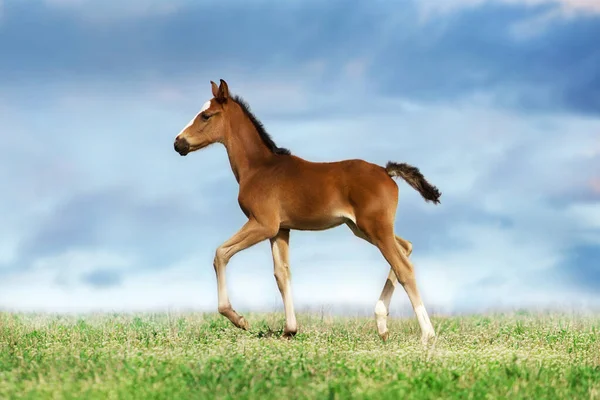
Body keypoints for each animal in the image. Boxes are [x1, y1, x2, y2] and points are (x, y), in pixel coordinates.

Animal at [173, 79, 440, 344]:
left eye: (206, 116)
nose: (178, 143)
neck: (259, 167)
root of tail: (387, 172)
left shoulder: (263, 224)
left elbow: (221, 253)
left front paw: (238, 319)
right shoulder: (280, 230)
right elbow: (282, 274)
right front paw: (289, 329)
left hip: (375, 228)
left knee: (404, 268)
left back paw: (427, 334)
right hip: (363, 228)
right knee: (406, 248)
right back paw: (382, 323)